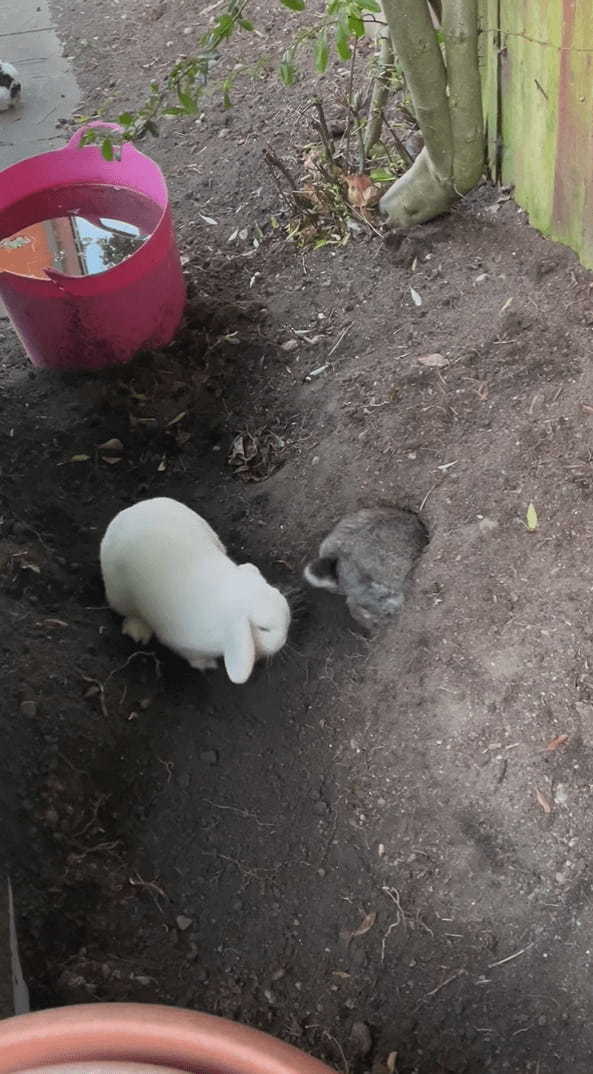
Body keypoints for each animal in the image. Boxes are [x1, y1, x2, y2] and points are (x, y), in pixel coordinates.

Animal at [101, 496, 292, 683]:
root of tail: (126, 513)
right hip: (118, 595)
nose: (284, 639)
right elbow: (194, 658)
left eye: (277, 593)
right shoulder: (182, 645)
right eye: (263, 629)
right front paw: (207, 665)